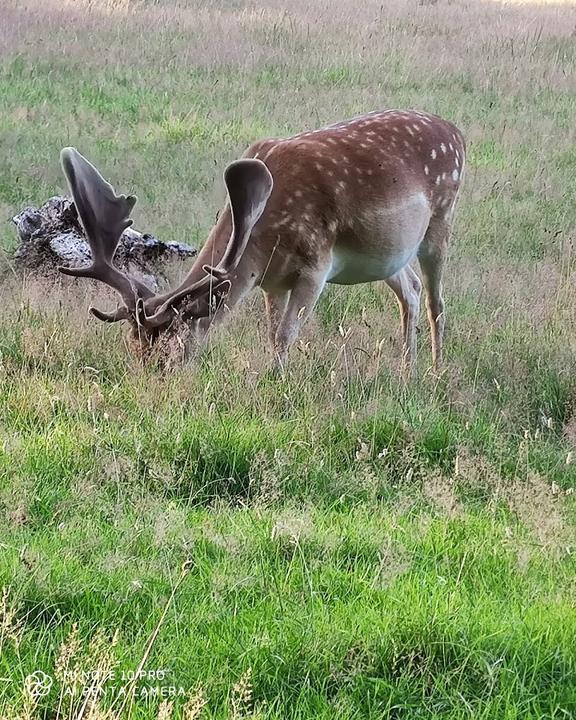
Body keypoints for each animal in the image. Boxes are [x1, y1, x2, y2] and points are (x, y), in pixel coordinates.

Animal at [58, 108, 464, 372]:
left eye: (168, 348)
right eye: (132, 347)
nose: (149, 380)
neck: (261, 240)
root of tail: (456, 131)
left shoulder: (315, 267)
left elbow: (285, 335)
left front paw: (277, 382)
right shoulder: (272, 280)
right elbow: (271, 335)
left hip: (441, 219)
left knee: (436, 300)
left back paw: (436, 370)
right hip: (386, 254)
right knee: (410, 289)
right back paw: (406, 368)